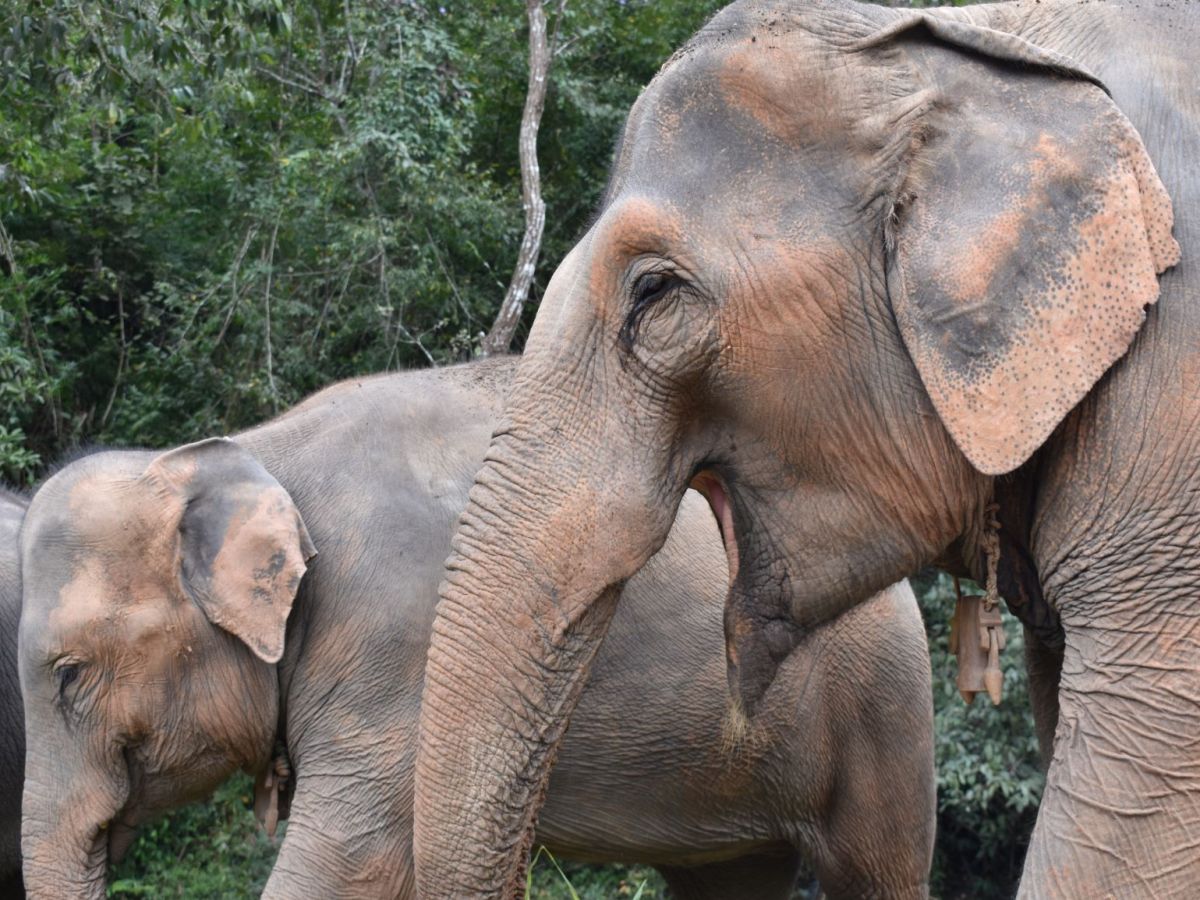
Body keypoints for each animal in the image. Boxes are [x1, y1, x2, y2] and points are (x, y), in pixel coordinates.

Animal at [17, 357, 936, 899]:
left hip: (881, 705)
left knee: (874, 869)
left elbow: (360, 851)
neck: (255, 450)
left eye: (69, 675)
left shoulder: (399, 637)